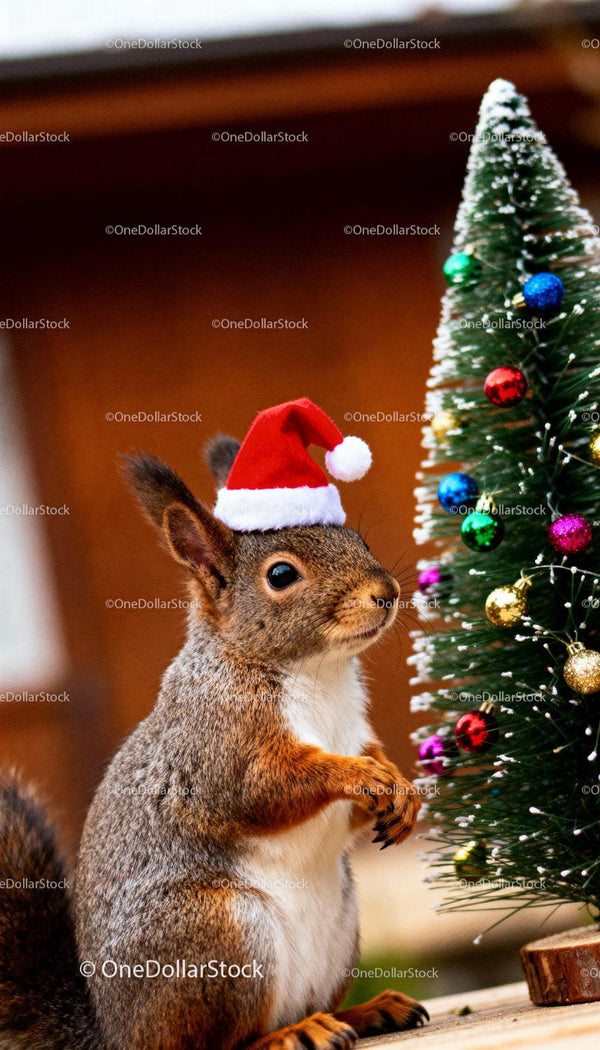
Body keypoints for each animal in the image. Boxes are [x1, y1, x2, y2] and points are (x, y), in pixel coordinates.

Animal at [0, 399, 428, 1050]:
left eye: (356, 537)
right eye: (282, 576)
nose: (386, 592)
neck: (316, 674)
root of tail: (114, 1033)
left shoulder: (355, 729)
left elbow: (368, 768)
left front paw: (401, 790)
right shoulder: (219, 744)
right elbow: (269, 787)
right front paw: (362, 777)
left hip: (339, 926)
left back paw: (367, 1011)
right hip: (220, 938)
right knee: (216, 1040)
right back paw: (290, 1035)